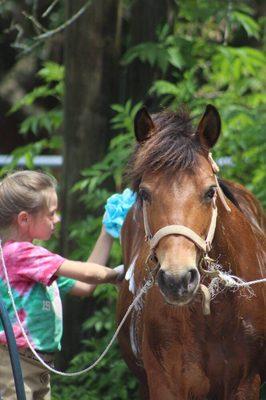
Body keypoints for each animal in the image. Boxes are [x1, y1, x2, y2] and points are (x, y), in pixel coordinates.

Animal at [117, 105, 266, 400]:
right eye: (144, 193)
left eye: (210, 192)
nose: (178, 279)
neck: (213, 313)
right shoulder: (165, 383)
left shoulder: (246, 383)